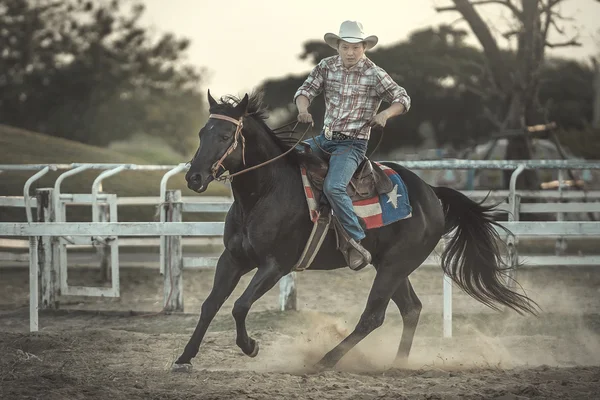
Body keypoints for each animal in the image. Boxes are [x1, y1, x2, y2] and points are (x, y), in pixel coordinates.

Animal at [175, 90, 540, 372]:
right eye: (201, 134)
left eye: (225, 137)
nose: (194, 177)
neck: (266, 191)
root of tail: (431, 193)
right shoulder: (233, 259)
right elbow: (210, 305)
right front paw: (184, 358)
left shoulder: (275, 266)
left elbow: (239, 306)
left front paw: (250, 346)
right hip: (392, 267)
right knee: (411, 308)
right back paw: (398, 364)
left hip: (394, 266)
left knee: (373, 316)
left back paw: (325, 360)